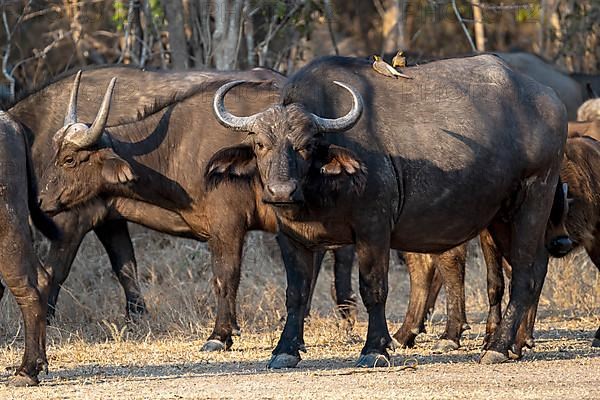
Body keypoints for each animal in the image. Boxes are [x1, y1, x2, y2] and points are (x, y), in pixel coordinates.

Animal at [209, 54, 568, 368]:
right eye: (260, 145)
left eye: (307, 145)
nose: (281, 191)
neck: (323, 188)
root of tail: (549, 98)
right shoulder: (291, 237)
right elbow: (296, 293)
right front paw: (285, 350)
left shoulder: (374, 229)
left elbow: (373, 288)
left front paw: (375, 349)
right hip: (500, 216)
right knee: (530, 267)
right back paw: (515, 344)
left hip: (536, 195)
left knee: (525, 272)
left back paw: (497, 347)